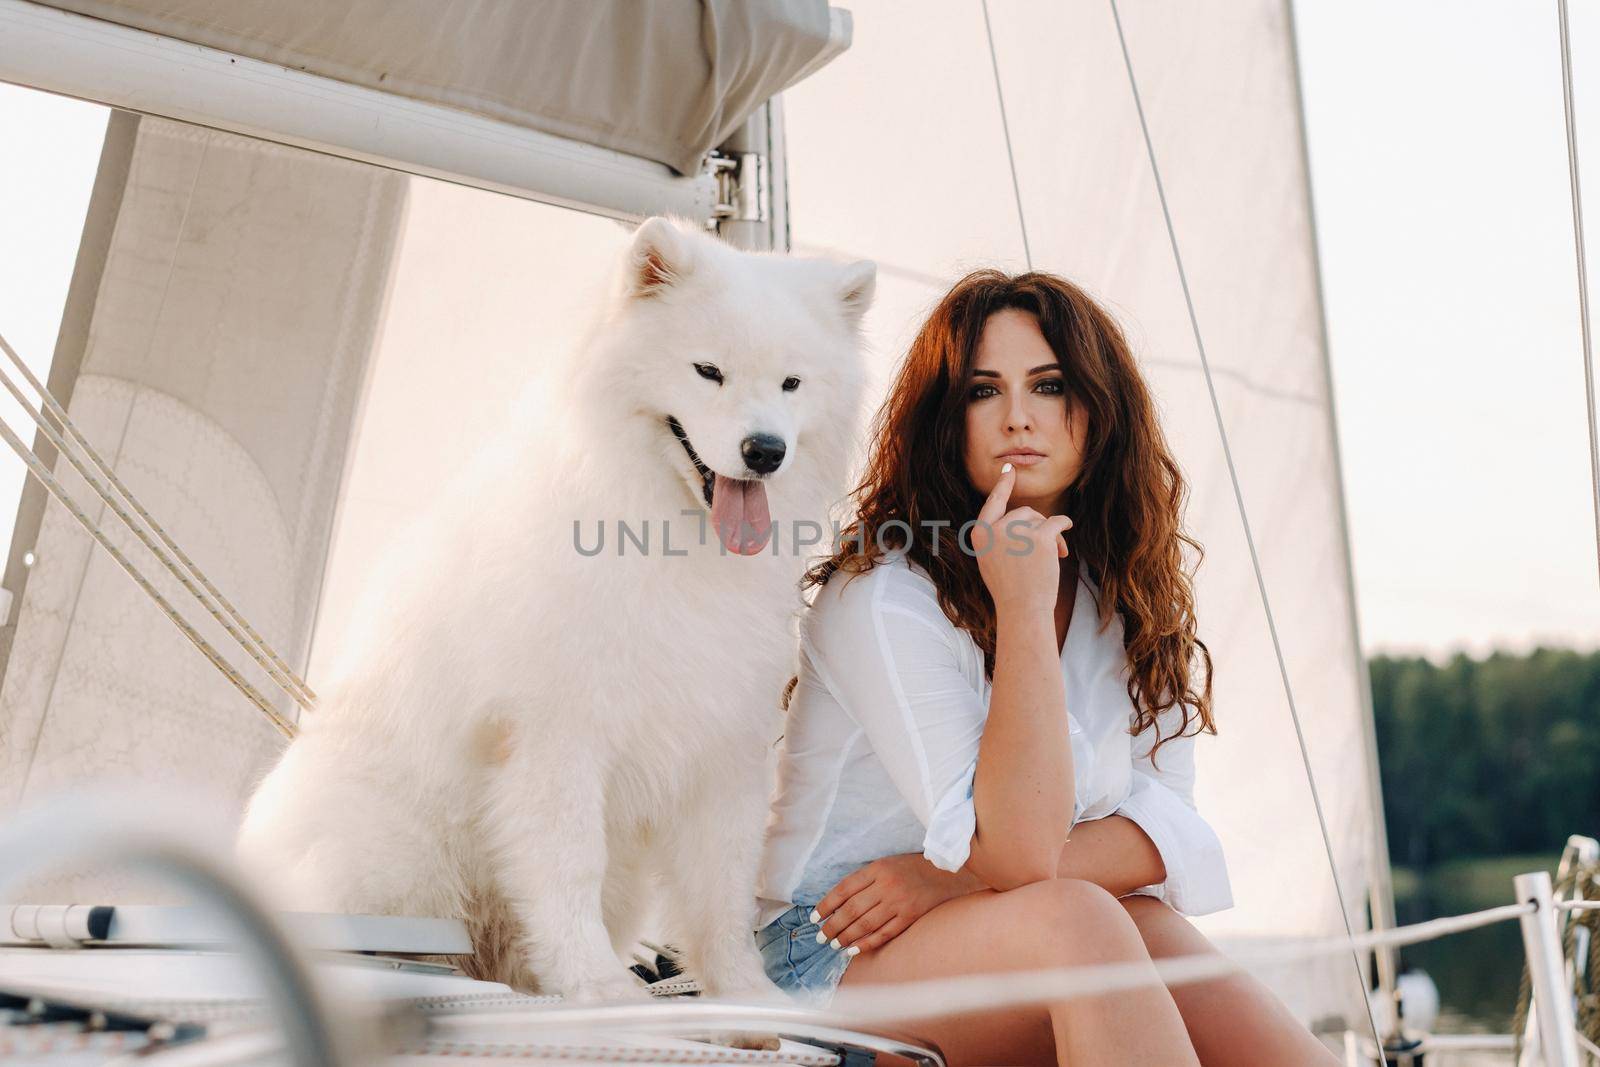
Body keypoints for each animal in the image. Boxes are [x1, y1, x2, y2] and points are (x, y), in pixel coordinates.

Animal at [233, 214, 876, 1004]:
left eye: (791, 382)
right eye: (708, 371)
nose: (765, 450)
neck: (666, 540)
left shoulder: (722, 746)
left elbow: (721, 889)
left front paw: (749, 995)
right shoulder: (557, 736)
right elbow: (569, 866)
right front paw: (599, 986)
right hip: (391, 853)